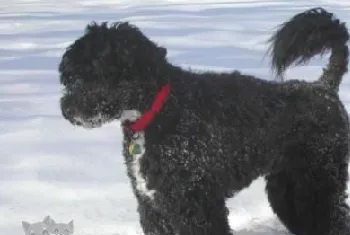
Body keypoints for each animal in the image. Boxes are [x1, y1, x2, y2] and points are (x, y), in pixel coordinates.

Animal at [58, 7, 350, 235]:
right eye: (71, 75)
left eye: (96, 70)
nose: (67, 110)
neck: (160, 109)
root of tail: (324, 87)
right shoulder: (153, 206)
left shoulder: (196, 205)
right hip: (289, 186)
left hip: (319, 182)